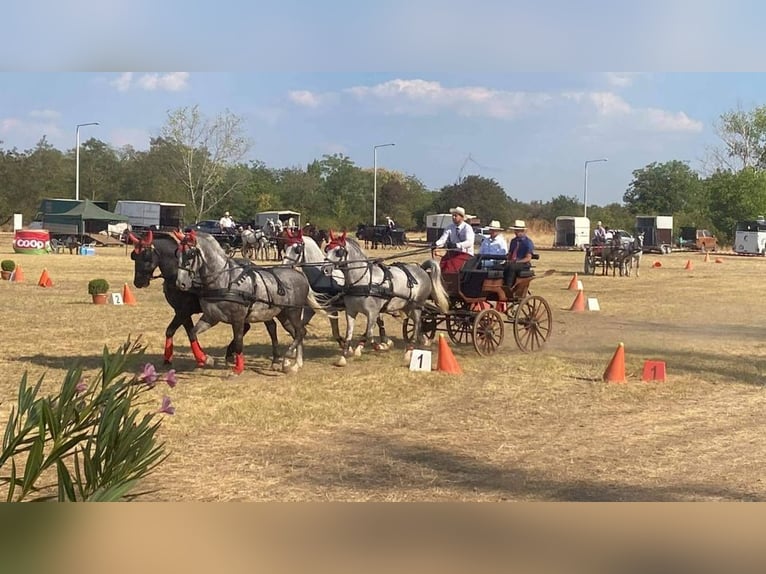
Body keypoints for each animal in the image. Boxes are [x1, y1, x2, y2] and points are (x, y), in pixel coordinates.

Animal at [175, 232, 324, 376]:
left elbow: (239, 341)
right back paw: (296, 363)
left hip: (293, 312)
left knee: (300, 332)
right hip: (283, 314)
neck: (224, 281)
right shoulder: (211, 318)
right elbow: (192, 334)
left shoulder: (238, 319)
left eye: (190, 254)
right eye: (177, 253)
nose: (180, 283)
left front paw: (237, 369)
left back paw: (287, 361)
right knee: (295, 333)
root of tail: (301, 275)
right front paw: (205, 359)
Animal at [280, 230, 390, 364]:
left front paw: (348, 349)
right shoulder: (310, 309)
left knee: (377, 321)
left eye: (297, 249)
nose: (283, 266)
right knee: (377, 322)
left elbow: (335, 332)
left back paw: (378, 343)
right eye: (286, 247)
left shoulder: (332, 310)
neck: (322, 278)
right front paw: (294, 351)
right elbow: (301, 327)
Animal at [322, 230, 450, 364]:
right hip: (407, 306)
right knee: (419, 324)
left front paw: (381, 346)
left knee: (416, 325)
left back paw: (409, 351)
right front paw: (344, 356)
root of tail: (422, 270)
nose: (324, 269)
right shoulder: (351, 311)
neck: (363, 281)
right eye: (327, 249)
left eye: (338, 252)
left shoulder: (372, 312)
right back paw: (422, 340)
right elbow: (349, 333)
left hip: (417, 306)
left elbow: (370, 333)